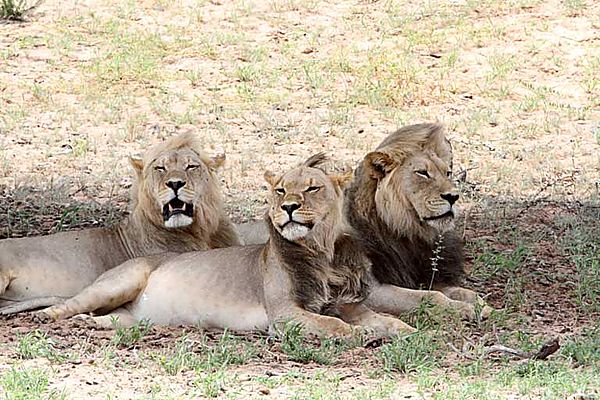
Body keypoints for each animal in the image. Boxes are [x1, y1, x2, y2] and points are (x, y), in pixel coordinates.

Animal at [35, 154, 414, 338]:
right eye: (280, 190)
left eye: (311, 188)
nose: (288, 206)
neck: (322, 254)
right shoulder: (285, 314)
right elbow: (337, 327)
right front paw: (359, 335)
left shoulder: (349, 305)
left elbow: (382, 318)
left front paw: (407, 331)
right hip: (120, 281)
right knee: (68, 305)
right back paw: (53, 317)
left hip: (133, 317)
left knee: (110, 318)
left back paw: (93, 324)